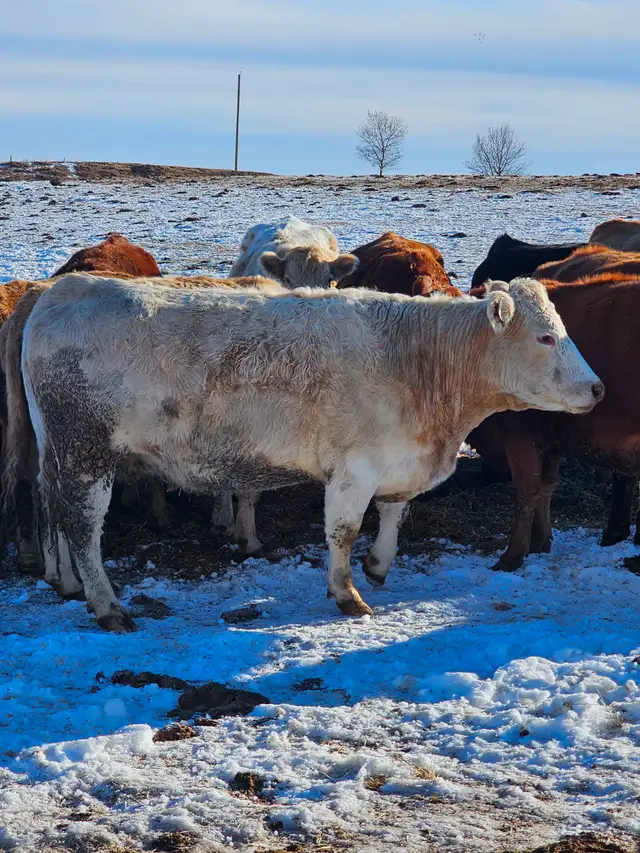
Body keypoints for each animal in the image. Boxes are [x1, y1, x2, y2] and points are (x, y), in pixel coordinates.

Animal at [6, 273, 602, 631]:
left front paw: (379, 565)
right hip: (86, 451)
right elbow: (342, 531)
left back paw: (67, 584)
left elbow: (394, 514)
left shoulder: (396, 461)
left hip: (59, 450)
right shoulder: (353, 469)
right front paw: (347, 593)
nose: (598, 389)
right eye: (546, 338)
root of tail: (60, 288)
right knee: (82, 524)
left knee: (53, 506)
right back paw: (107, 605)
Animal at [468, 274, 640, 572]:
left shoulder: (519, 436)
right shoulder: (551, 440)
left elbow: (527, 491)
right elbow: (546, 488)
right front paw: (540, 542)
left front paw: (512, 556)